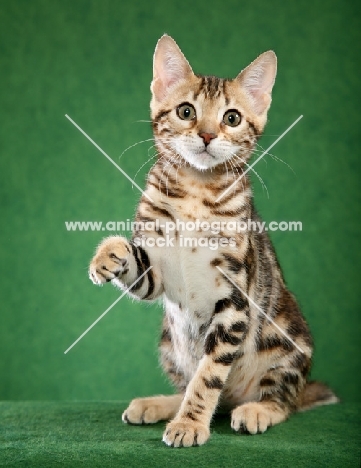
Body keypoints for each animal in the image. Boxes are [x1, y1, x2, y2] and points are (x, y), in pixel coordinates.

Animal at [88, 35, 336, 446]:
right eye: (186, 111)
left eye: (231, 118)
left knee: (279, 399)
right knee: (192, 385)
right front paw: (108, 253)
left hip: (288, 341)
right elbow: (137, 266)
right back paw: (160, 404)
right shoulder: (158, 275)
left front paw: (190, 424)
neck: (195, 190)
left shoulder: (234, 298)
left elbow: (208, 375)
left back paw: (256, 410)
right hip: (168, 342)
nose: (206, 134)